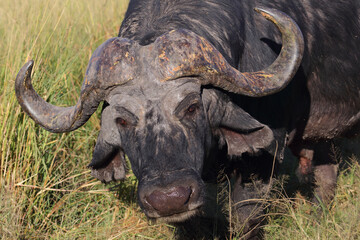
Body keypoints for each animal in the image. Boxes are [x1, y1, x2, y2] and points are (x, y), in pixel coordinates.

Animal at [14, 0, 360, 238]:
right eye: (123, 121)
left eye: (192, 107)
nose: (169, 199)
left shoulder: (262, 161)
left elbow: (245, 218)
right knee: (326, 174)